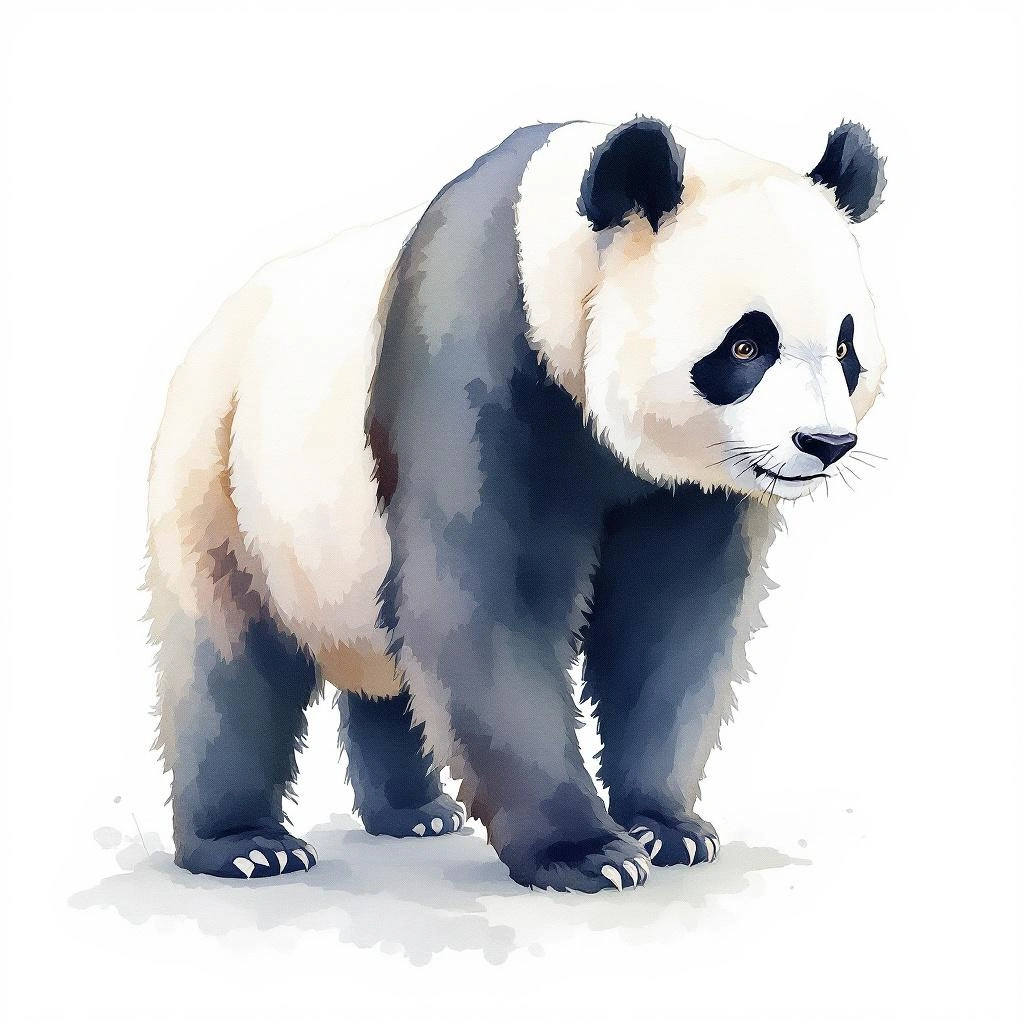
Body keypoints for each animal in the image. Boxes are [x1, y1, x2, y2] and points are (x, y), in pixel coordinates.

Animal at [147, 116, 887, 893]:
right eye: (745, 345)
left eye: (846, 347)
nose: (825, 443)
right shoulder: (477, 357)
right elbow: (484, 601)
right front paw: (588, 853)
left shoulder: (688, 487)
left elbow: (672, 623)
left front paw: (667, 829)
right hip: (222, 461)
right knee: (228, 654)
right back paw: (247, 847)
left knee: (388, 668)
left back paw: (413, 814)